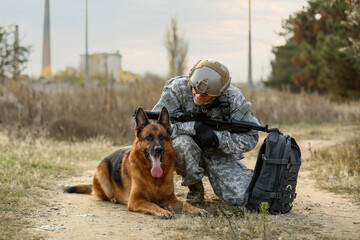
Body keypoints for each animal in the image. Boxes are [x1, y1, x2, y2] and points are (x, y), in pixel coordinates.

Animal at [64, 108, 205, 218]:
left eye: (162, 137)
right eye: (148, 137)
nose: (158, 149)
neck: (154, 179)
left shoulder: (170, 198)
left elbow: (185, 204)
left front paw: (196, 209)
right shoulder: (135, 200)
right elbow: (151, 204)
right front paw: (162, 211)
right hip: (101, 172)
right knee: (104, 195)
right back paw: (113, 198)